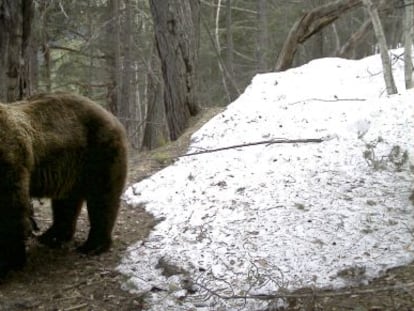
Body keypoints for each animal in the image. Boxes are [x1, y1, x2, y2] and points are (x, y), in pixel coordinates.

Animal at [0, 93, 128, 278]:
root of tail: (111, 116)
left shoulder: (11, 161)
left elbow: (11, 211)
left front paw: (7, 263)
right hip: (72, 168)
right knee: (66, 204)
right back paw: (51, 236)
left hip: (99, 152)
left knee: (101, 199)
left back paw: (92, 245)